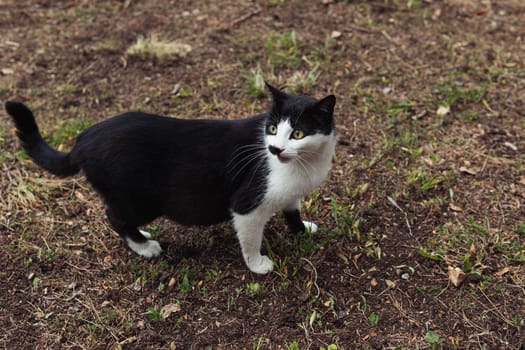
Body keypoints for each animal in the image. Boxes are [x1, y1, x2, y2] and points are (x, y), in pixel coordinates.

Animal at [5, 83, 336, 274]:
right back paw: (143, 246)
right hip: (141, 200)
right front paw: (258, 265)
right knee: (113, 215)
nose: (274, 148)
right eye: (272, 128)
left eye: (297, 133)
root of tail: (82, 140)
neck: (304, 165)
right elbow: (251, 239)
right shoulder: (247, 206)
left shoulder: (291, 193)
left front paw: (302, 229)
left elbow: (292, 209)